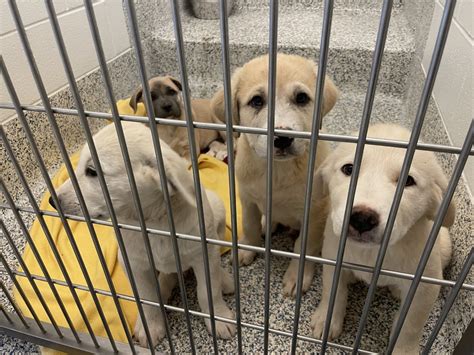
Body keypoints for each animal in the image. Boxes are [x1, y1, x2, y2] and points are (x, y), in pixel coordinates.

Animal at [54, 121, 236, 348]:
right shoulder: (132, 263)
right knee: (166, 276)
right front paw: (150, 326)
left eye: (92, 171)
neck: (154, 221)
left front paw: (219, 318)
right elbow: (148, 298)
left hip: (217, 209)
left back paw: (225, 279)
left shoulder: (205, 254)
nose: (52, 200)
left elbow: (208, 291)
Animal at [209, 53, 338, 298]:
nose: (283, 138)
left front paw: (297, 276)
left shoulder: (314, 212)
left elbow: (304, 246)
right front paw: (247, 248)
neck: (277, 171)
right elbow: (249, 224)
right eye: (257, 101)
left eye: (301, 98)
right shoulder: (247, 198)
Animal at [312, 124, 456, 354]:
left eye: (408, 181)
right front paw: (326, 320)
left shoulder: (424, 286)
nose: (362, 218)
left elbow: (410, 325)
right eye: (348, 169)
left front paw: (404, 350)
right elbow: (333, 292)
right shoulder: (332, 259)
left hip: (445, 247)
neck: (372, 254)